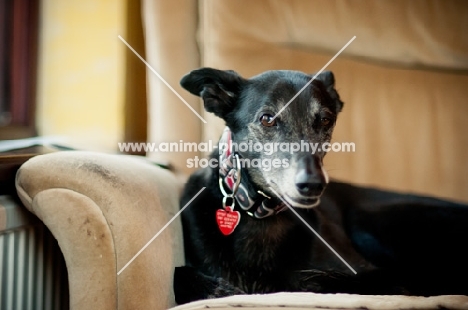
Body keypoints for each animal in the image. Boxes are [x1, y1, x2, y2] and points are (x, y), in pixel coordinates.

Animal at [173, 68, 468, 306]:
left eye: (325, 120)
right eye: (267, 119)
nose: (312, 185)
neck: (261, 216)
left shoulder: (369, 272)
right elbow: (180, 273)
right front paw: (216, 289)